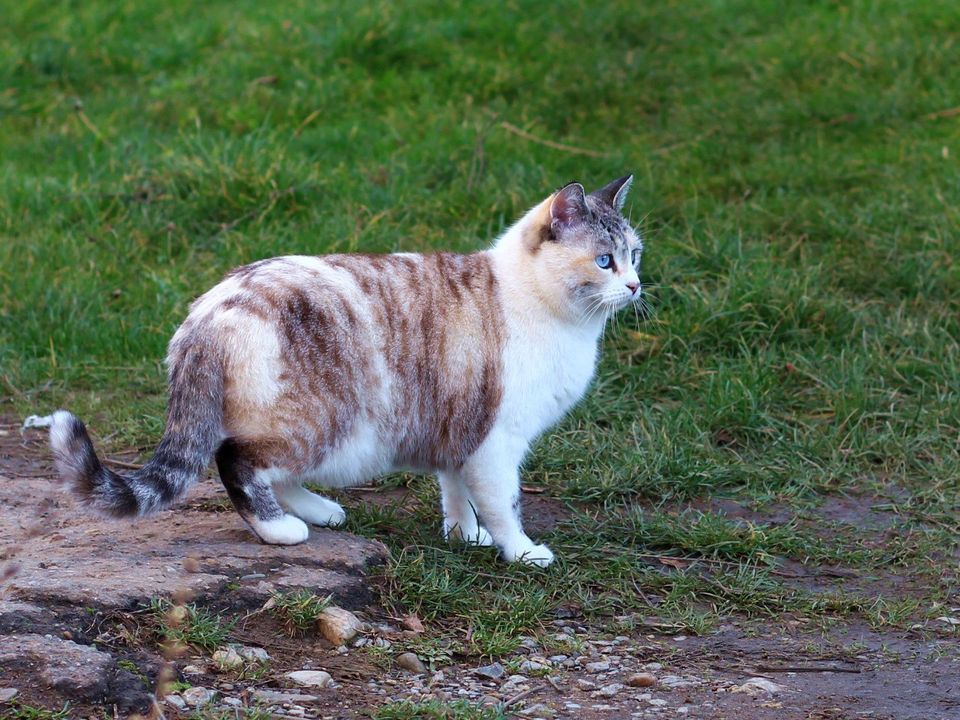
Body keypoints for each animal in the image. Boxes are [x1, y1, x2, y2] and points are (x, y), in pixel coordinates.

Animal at [30, 173, 640, 564]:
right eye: (604, 261)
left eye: (636, 255)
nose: (636, 287)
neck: (558, 316)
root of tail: (210, 308)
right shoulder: (498, 442)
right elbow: (503, 506)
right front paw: (523, 553)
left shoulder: (457, 432)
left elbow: (455, 493)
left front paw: (465, 539)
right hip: (329, 421)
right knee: (238, 461)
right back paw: (282, 529)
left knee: (272, 470)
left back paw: (321, 512)